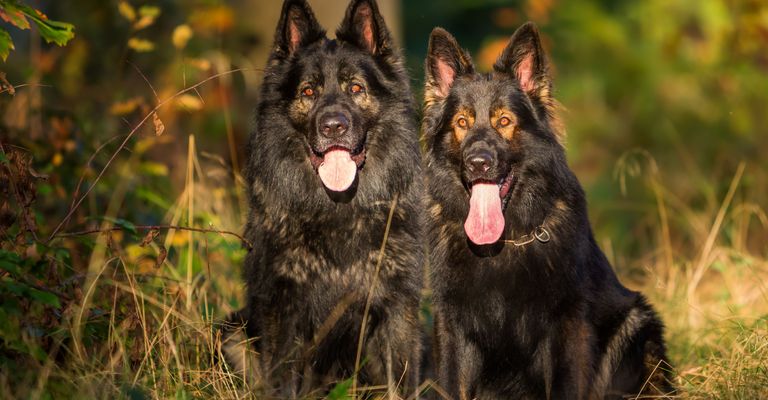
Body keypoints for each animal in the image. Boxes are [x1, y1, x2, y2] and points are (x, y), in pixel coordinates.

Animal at [222, 0, 426, 396]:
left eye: (355, 87)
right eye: (308, 93)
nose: (333, 126)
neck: (339, 211)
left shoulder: (397, 310)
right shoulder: (283, 310)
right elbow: (283, 382)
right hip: (232, 333)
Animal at [424, 25, 676, 400]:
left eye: (504, 121)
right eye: (462, 122)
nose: (478, 162)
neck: (502, 243)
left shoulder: (565, 327)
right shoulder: (451, 325)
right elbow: (452, 383)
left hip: (635, 322)